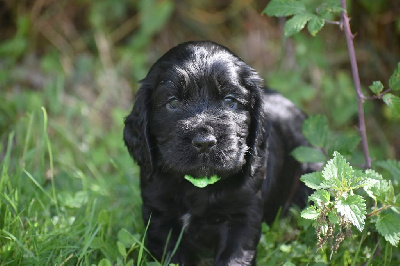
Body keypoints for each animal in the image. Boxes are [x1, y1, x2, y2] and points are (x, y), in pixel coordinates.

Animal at [123, 41, 318, 264]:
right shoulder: (159, 215)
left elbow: (234, 257)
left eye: (230, 101)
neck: (197, 186)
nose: (205, 142)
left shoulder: (242, 214)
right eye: (173, 103)